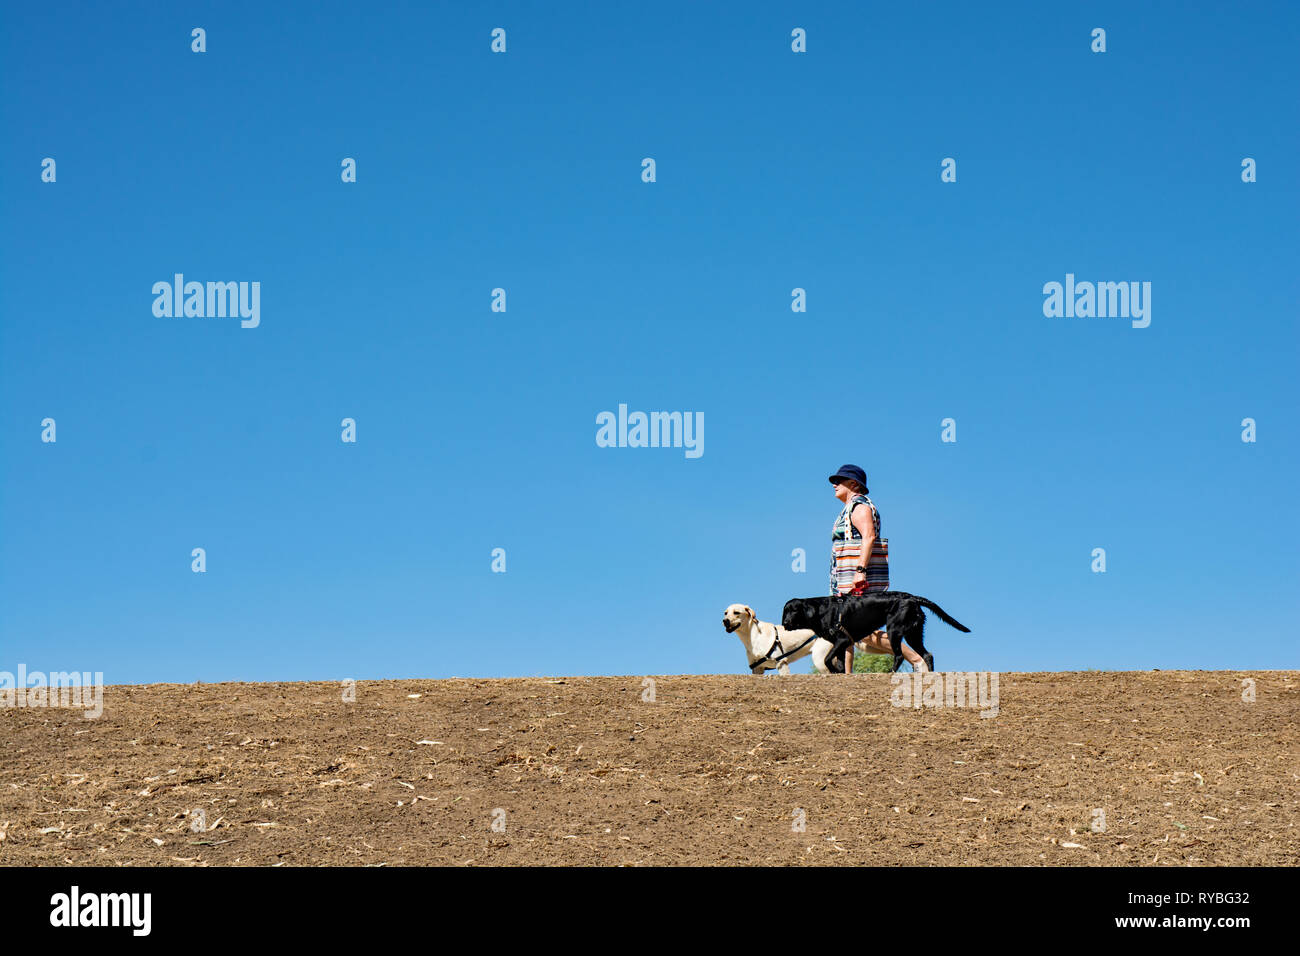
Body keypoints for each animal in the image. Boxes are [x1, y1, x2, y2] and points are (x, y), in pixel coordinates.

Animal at [780, 590, 967, 671]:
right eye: (786, 611)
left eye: (795, 610)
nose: (786, 623)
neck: (820, 611)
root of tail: (912, 597)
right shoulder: (840, 645)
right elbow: (839, 663)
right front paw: (838, 672)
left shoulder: (842, 640)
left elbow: (827, 659)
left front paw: (832, 670)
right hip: (913, 634)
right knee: (928, 655)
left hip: (894, 631)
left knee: (899, 656)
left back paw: (891, 673)